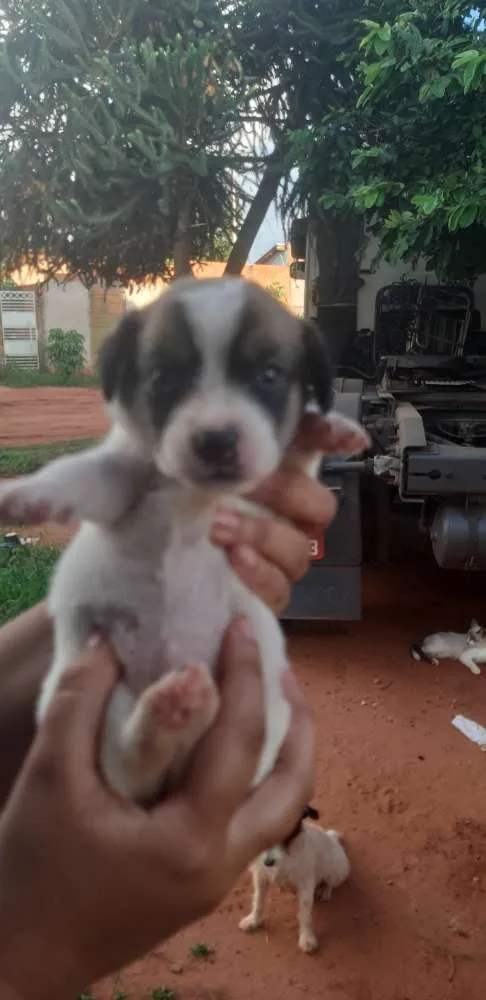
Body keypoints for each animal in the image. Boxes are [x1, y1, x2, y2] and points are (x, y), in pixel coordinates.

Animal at [0, 276, 368, 804]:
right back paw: (168, 716)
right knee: (130, 770)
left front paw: (322, 429)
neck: (191, 495)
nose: (216, 440)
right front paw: (30, 496)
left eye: (269, 375)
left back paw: (181, 710)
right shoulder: (122, 477)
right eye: (163, 377)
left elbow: (292, 461)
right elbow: (84, 473)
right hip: (106, 704)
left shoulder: (255, 504)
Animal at [238, 804, 350, 952]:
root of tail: (333, 839)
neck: (287, 853)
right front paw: (254, 920)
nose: (268, 862)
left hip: (337, 871)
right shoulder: (260, 876)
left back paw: (324, 891)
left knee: (329, 882)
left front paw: (307, 938)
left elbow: (305, 913)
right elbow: (258, 901)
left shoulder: (306, 883)